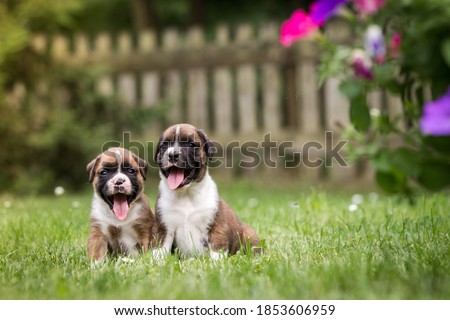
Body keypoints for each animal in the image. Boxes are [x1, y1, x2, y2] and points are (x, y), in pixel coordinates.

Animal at [154, 123, 260, 260]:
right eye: (164, 146)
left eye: (191, 145)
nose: (172, 154)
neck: (186, 194)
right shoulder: (163, 229)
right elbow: (159, 250)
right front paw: (156, 262)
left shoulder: (215, 228)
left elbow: (216, 250)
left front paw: (216, 263)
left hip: (249, 233)